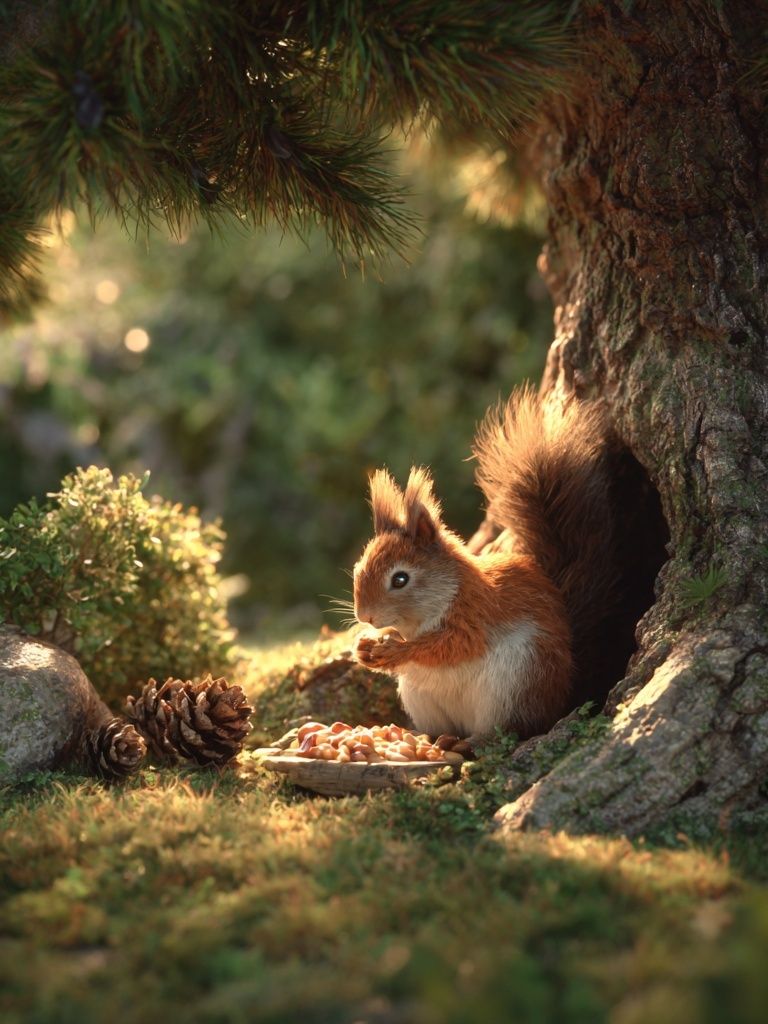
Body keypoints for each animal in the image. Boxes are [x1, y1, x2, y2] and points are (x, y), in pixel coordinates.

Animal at [352, 386, 621, 747]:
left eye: (400, 579)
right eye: (358, 568)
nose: (365, 616)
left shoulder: (477, 615)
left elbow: (450, 646)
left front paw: (396, 650)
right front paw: (365, 646)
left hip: (516, 685)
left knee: (509, 730)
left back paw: (471, 742)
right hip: (424, 699)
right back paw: (418, 736)